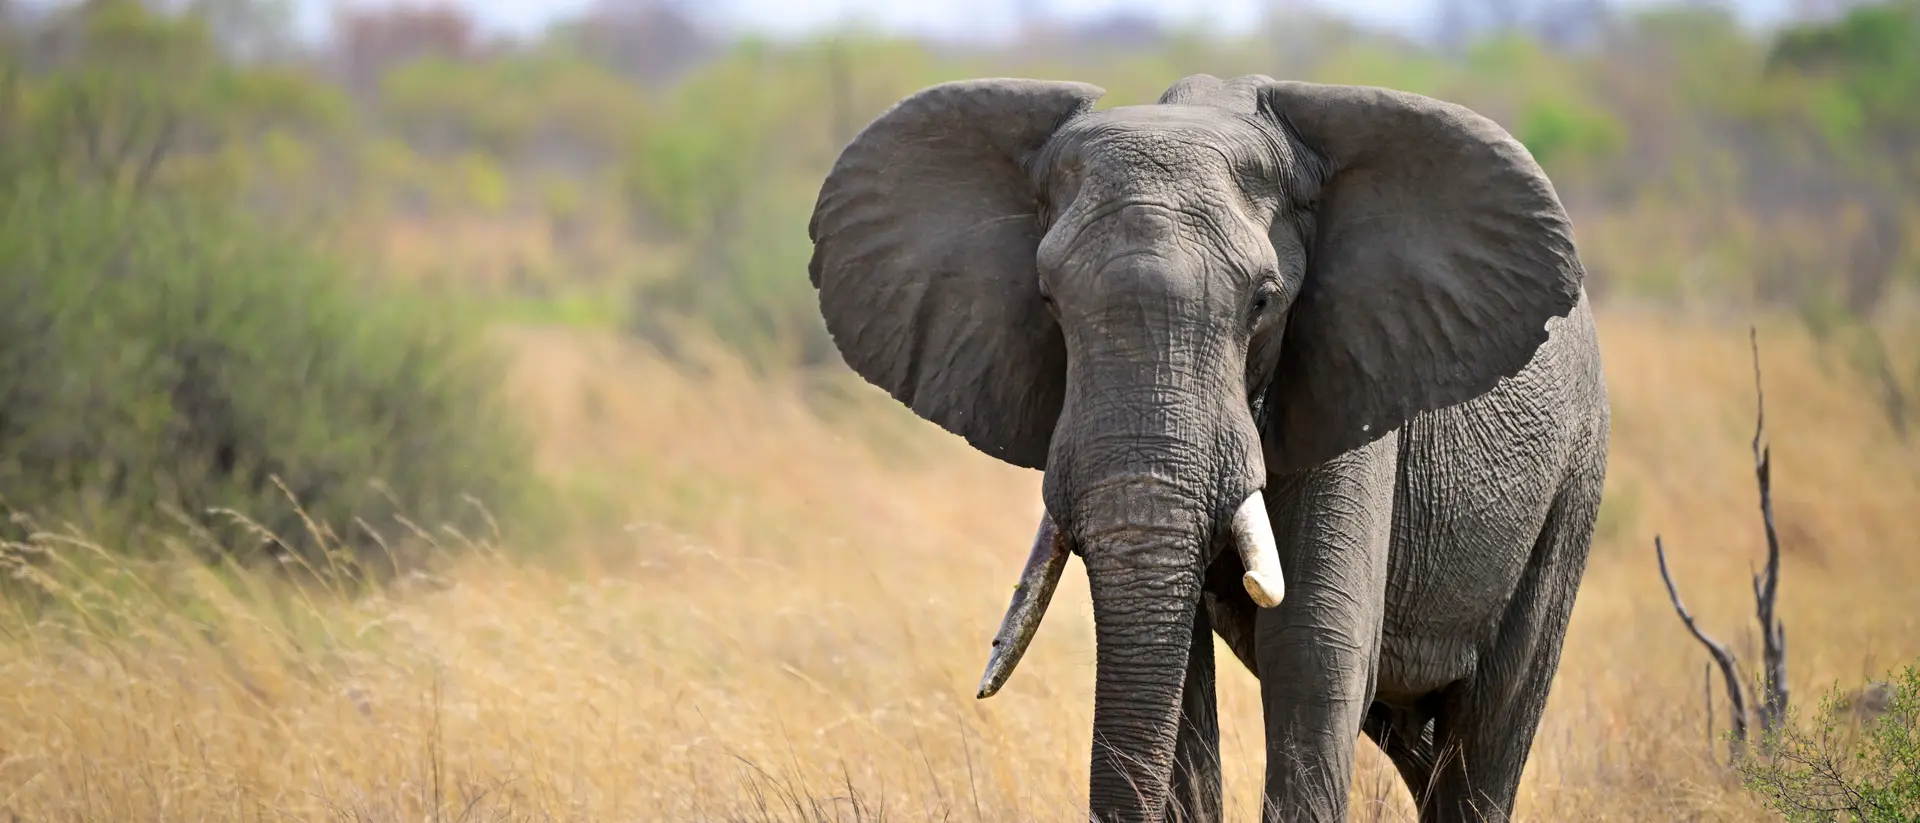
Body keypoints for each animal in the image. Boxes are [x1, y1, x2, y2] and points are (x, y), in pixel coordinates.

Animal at [805, 73, 1610, 823]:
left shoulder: (1355, 376)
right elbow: (1184, 669)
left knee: (1491, 727)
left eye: (1263, 301)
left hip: (1572, 480)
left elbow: (1314, 650)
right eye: (1046, 300)